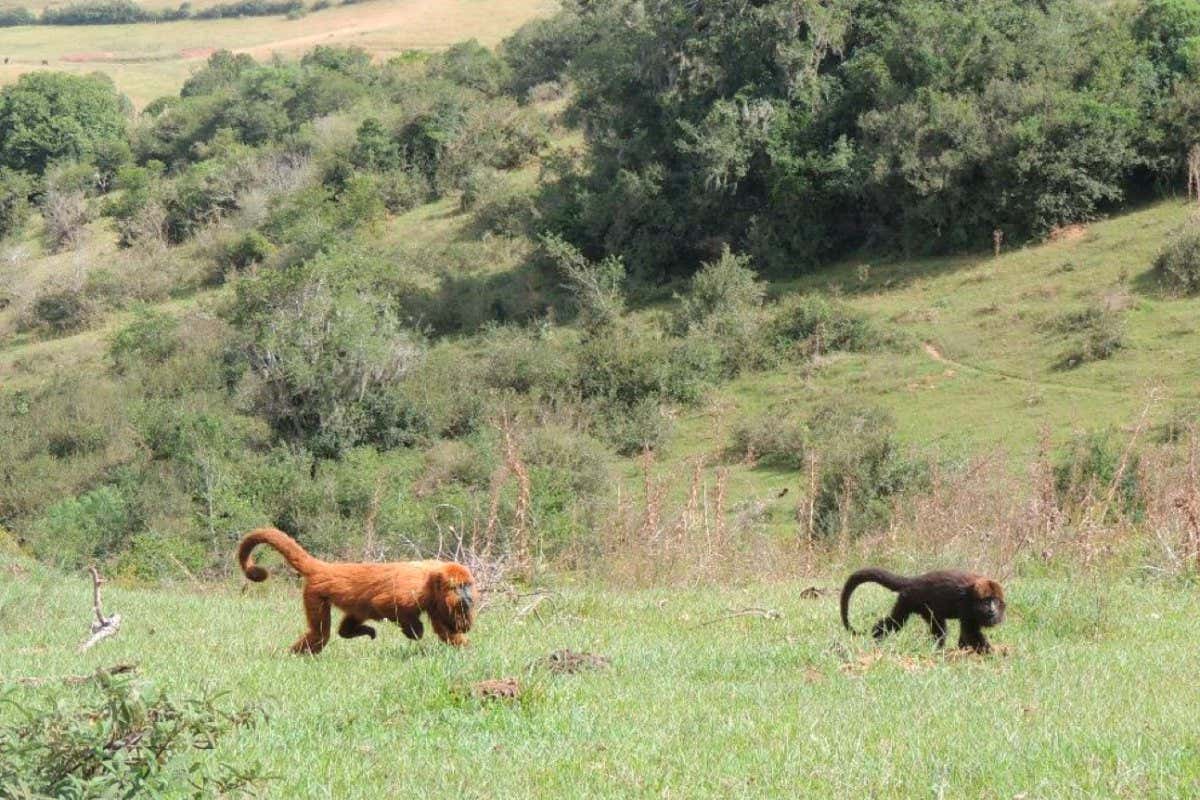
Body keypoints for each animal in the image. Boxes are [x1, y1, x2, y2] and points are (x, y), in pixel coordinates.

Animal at [237, 527, 476, 654]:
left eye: (468, 585)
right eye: (458, 586)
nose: (467, 597)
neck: (432, 578)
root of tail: (326, 568)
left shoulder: (436, 601)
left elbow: (445, 629)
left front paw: (466, 648)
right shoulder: (413, 589)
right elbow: (386, 603)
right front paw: (413, 630)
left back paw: (351, 631)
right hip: (315, 593)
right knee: (320, 635)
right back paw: (295, 655)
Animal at [840, 568, 1005, 653]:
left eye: (995, 601)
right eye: (986, 601)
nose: (992, 610)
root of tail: (914, 581)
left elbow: (966, 635)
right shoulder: (966, 606)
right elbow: (970, 633)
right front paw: (993, 654)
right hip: (911, 599)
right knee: (900, 622)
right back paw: (876, 636)